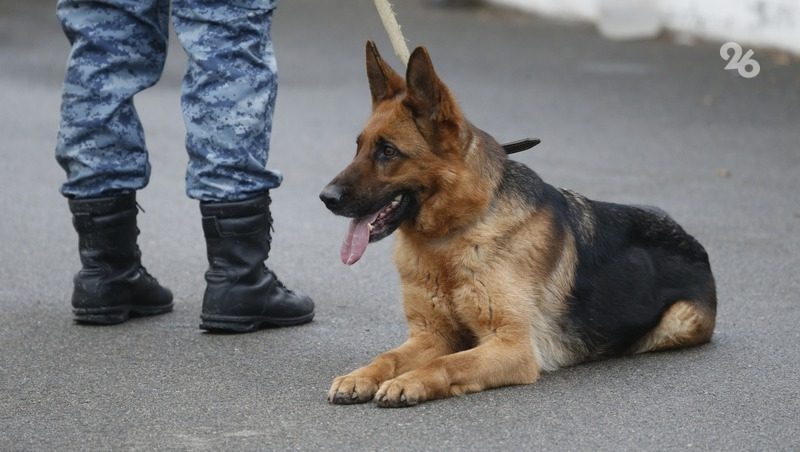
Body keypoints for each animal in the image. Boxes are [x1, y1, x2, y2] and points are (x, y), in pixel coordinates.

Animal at [320, 42, 720, 408]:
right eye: (358, 147)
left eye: (388, 151)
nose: (326, 197)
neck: (454, 236)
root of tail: (694, 242)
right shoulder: (431, 336)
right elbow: (388, 357)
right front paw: (362, 376)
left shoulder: (511, 346)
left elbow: (446, 364)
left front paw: (409, 381)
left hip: (676, 324)